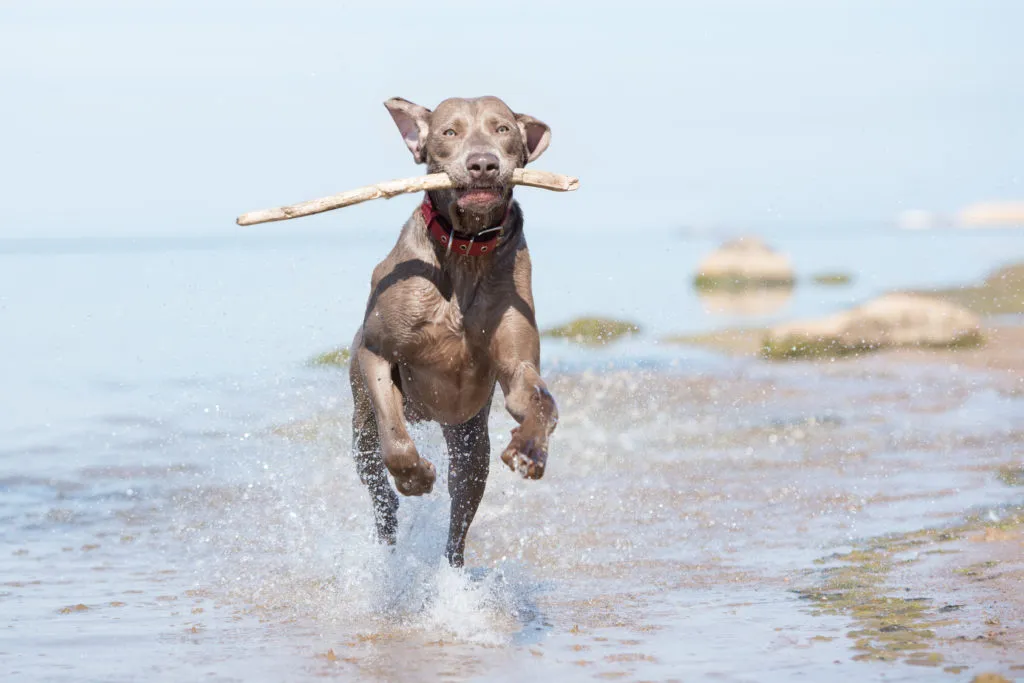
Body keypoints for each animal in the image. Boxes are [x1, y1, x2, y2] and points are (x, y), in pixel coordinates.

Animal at [352, 94, 561, 565]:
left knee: (461, 508)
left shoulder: (516, 363)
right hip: (360, 427)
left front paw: (530, 449)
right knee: (376, 480)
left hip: (470, 442)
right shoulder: (375, 352)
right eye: (450, 132)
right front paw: (414, 477)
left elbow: (538, 398)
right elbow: (395, 439)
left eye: (503, 129)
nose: (483, 164)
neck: (465, 249)